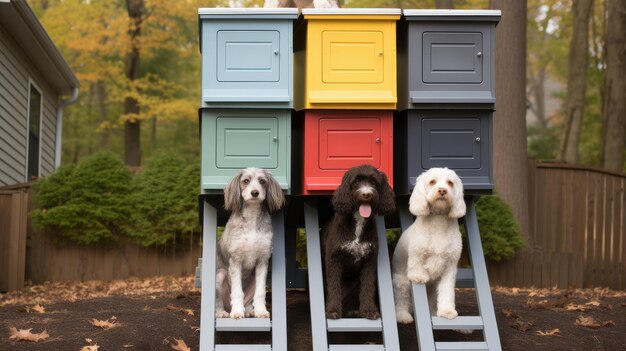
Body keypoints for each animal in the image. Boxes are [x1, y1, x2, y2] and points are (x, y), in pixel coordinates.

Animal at [214, 168, 282, 320]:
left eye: (262, 181)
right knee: (219, 302)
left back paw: (249, 310)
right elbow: (237, 292)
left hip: (254, 279)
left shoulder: (263, 260)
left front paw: (261, 311)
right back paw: (223, 312)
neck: (251, 217)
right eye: (245, 181)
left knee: (250, 300)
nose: (255, 192)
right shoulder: (235, 260)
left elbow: (260, 292)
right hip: (220, 276)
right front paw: (237, 312)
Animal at [390, 168, 464, 324]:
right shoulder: (417, 253)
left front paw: (447, 311)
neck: (439, 219)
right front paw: (419, 276)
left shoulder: (450, 268)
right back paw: (403, 316)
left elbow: (447, 292)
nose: (442, 190)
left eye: (450, 183)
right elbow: (416, 265)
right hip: (401, 282)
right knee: (401, 300)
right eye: (432, 182)